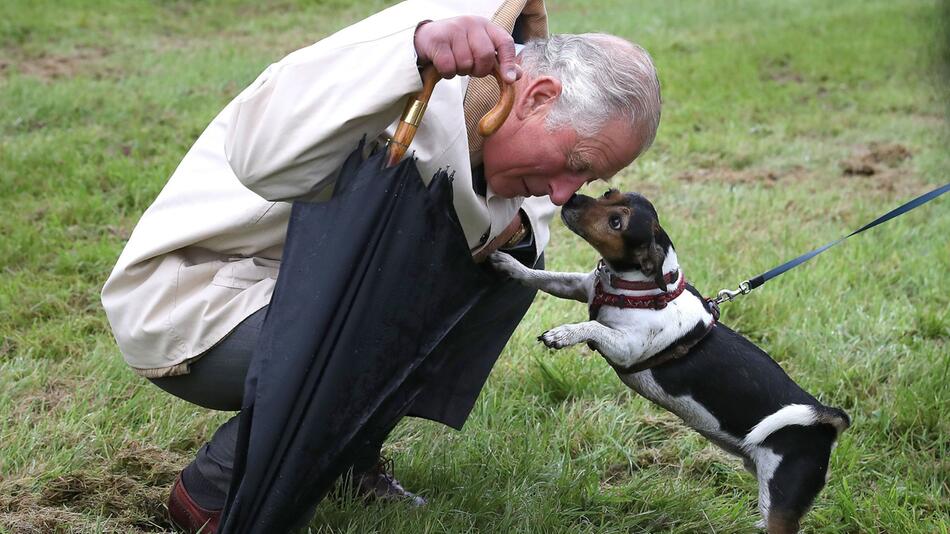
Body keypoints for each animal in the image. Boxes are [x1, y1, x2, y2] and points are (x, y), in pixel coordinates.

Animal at [494, 191, 852, 532]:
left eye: (616, 223)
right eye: (609, 193)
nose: (571, 199)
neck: (639, 288)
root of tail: (826, 419)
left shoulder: (625, 347)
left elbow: (593, 327)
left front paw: (563, 334)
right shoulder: (577, 287)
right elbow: (544, 278)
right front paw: (510, 264)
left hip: (781, 499)